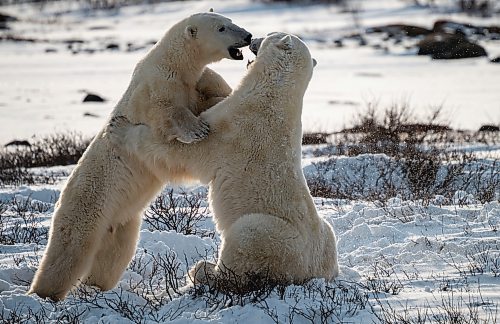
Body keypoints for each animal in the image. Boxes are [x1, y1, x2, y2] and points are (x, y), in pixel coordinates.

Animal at [29, 12, 252, 302]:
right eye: (222, 28)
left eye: (230, 20)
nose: (247, 36)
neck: (175, 64)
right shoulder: (155, 87)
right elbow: (166, 116)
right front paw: (197, 130)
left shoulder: (194, 82)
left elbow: (213, 95)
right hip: (86, 206)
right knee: (69, 251)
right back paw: (43, 294)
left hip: (122, 222)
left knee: (113, 258)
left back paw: (95, 288)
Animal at [108, 33, 340, 292]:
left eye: (269, 36)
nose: (253, 38)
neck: (275, 97)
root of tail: (312, 272)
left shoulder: (231, 129)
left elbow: (184, 153)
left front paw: (120, 128)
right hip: (327, 237)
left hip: (272, 237)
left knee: (246, 239)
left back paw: (203, 270)